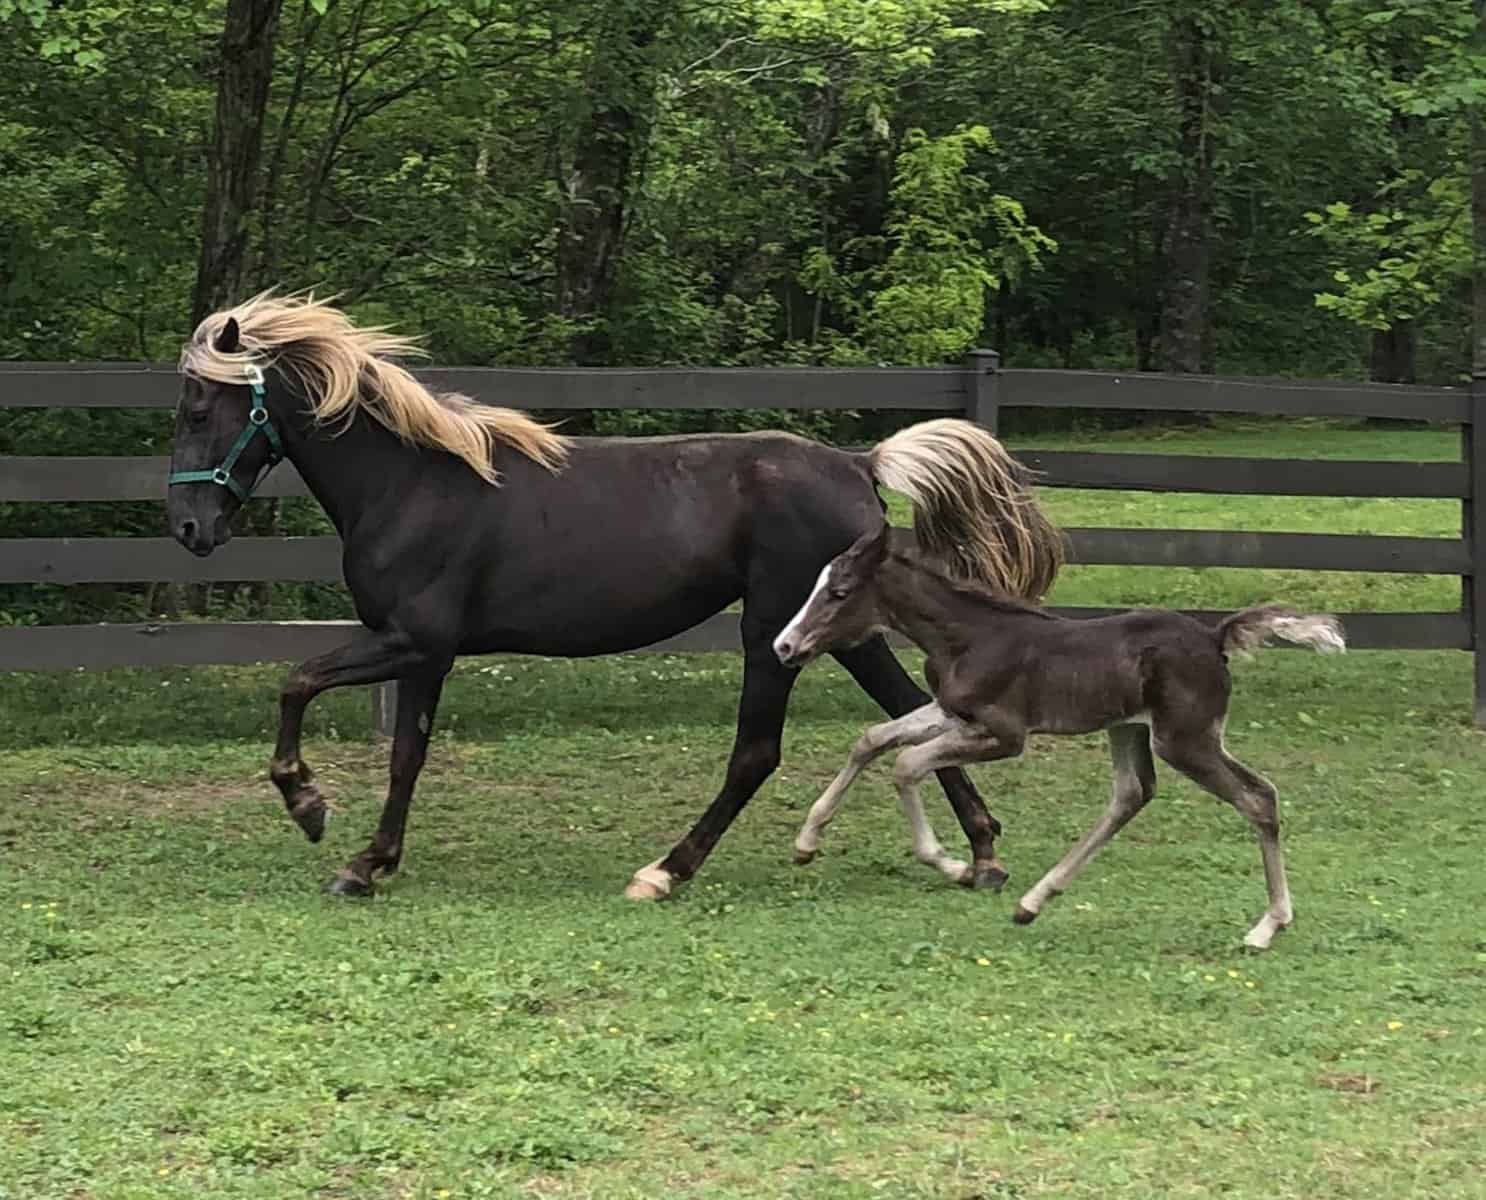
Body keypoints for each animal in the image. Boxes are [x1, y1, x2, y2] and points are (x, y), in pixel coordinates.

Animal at [164, 293, 1064, 898]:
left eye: (201, 409)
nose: (188, 527)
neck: (413, 482)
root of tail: (855, 463)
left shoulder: (412, 640)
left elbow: (298, 681)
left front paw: (310, 808)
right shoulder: (424, 655)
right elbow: (404, 756)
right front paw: (370, 862)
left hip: (773, 632)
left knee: (756, 752)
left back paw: (666, 871)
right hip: (843, 629)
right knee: (912, 709)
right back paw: (981, 853)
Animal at [771, 523, 1345, 949]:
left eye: (839, 592)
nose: (785, 646)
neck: (968, 638)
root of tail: (1214, 636)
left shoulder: (1005, 735)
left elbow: (907, 763)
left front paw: (953, 865)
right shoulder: (954, 714)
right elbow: (873, 739)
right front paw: (805, 842)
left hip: (1186, 739)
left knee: (1257, 797)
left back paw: (1268, 926)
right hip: (1130, 729)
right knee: (1132, 794)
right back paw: (1034, 902)